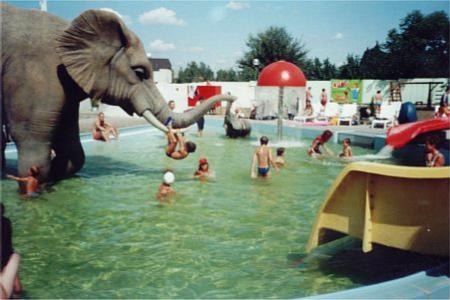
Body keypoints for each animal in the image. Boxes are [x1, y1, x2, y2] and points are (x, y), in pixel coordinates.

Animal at [1, 4, 236, 186]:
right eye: (139, 72)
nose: (232, 98)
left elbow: (72, 147)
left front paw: (56, 177)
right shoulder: (35, 73)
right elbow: (33, 145)